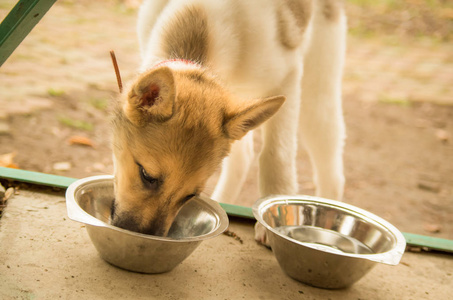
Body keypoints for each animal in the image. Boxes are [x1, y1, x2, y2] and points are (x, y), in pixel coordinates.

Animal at [110, 0, 346, 243]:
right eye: (147, 176)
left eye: (191, 195)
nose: (142, 239)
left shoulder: (287, 77)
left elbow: (275, 156)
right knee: (243, 158)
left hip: (316, 96)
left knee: (332, 169)